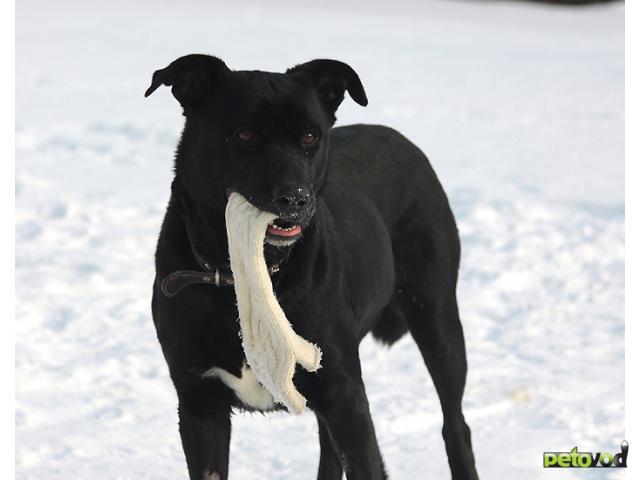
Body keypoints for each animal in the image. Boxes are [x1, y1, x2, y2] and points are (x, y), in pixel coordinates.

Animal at [148, 53, 478, 480]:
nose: (296, 199)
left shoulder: (345, 395)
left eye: (309, 136)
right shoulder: (198, 401)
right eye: (243, 135)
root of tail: (402, 140)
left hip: (436, 315)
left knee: (455, 424)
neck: (248, 273)